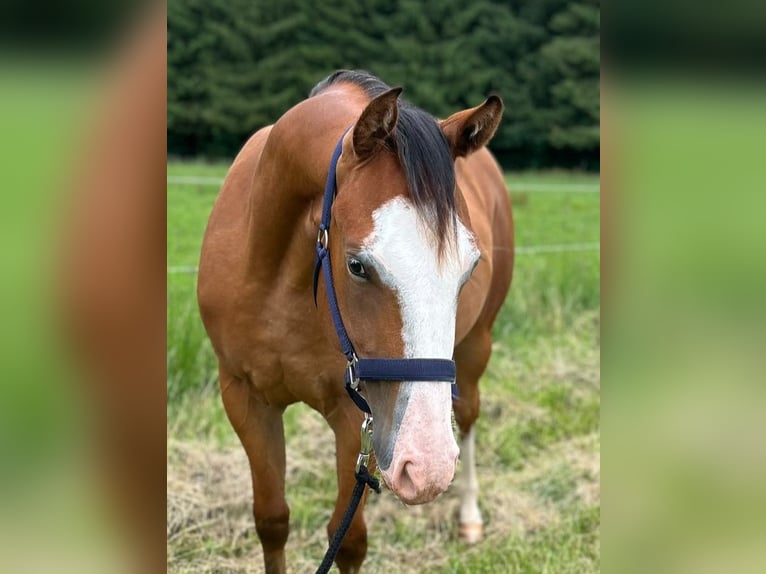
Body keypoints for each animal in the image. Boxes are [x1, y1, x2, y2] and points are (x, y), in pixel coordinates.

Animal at [197, 70, 514, 573]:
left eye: (471, 266)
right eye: (357, 266)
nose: (427, 467)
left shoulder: (354, 416)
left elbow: (347, 541)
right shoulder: (245, 399)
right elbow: (272, 520)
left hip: (474, 348)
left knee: (467, 418)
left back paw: (468, 517)